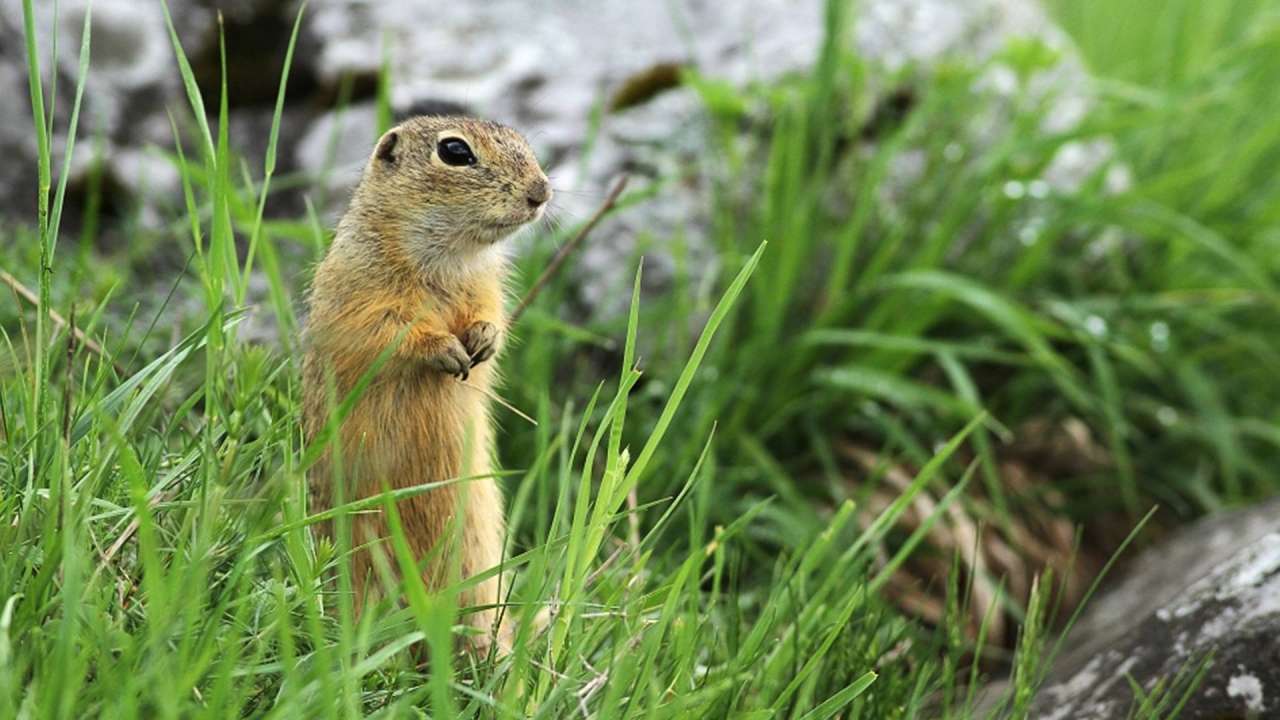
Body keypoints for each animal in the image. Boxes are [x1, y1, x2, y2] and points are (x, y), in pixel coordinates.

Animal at [305, 114, 555, 648]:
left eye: (521, 140)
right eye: (455, 152)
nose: (541, 192)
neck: (448, 256)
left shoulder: (486, 287)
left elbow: (490, 315)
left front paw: (482, 342)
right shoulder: (361, 295)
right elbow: (391, 331)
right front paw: (447, 351)